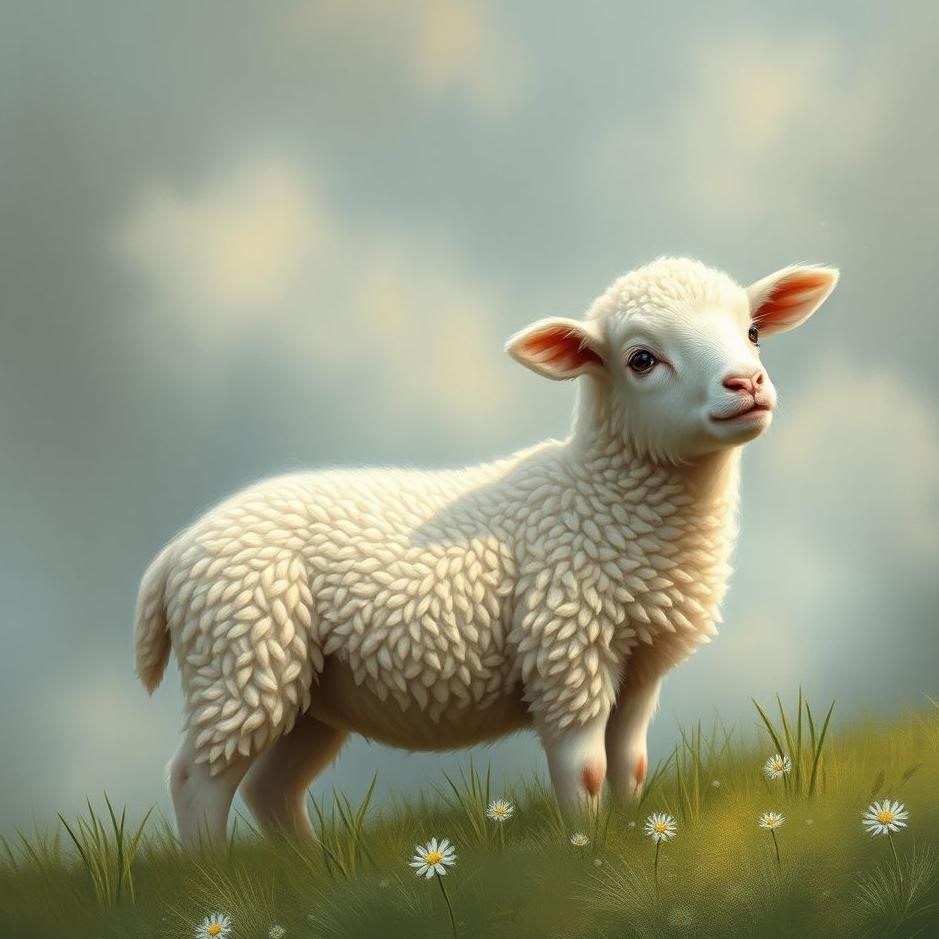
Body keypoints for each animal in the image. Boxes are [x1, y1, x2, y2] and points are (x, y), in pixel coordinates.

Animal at [134, 256, 839, 848]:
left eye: (753, 331)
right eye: (641, 359)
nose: (747, 383)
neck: (600, 496)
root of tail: (174, 552)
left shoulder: (641, 665)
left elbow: (632, 766)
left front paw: (634, 836)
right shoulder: (565, 649)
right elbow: (586, 769)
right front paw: (586, 848)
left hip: (307, 689)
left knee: (271, 787)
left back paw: (309, 872)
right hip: (242, 653)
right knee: (196, 778)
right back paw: (217, 878)